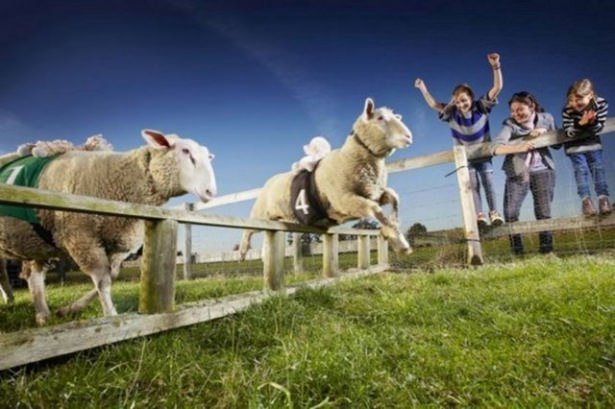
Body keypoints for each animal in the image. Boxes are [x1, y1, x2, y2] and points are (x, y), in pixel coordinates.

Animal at [0, 129, 217, 324]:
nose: (210, 192)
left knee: (32, 276)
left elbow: (111, 276)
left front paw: (69, 309)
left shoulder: (118, 245)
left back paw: (41, 315)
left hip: (32, 242)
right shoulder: (81, 238)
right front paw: (111, 317)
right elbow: (102, 280)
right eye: (186, 151)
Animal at [241, 97, 414, 260]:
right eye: (380, 118)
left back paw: (264, 255)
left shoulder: (374, 194)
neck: (348, 157)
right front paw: (400, 243)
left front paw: (397, 235)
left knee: (266, 234)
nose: (408, 137)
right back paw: (242, 252)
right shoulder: (344, 200)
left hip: (279, 218)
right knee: (248, 229)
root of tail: (269, 181)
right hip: (260, 212)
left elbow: (394, 198)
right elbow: (376, 209)